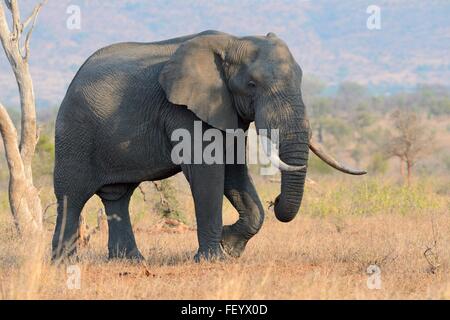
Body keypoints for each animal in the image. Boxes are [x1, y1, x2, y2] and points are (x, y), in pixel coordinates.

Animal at [51, 29, 366, 262]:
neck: (233, 42)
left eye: (300, 80)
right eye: (252, 85)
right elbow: (208, 172)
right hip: (73, 134)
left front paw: (230, 248)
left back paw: (129, 261)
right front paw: (214, 259)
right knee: (71, 196)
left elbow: (235, 171)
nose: (275, 199)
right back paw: (64, 264)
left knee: (118, 196)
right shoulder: (185, 110)